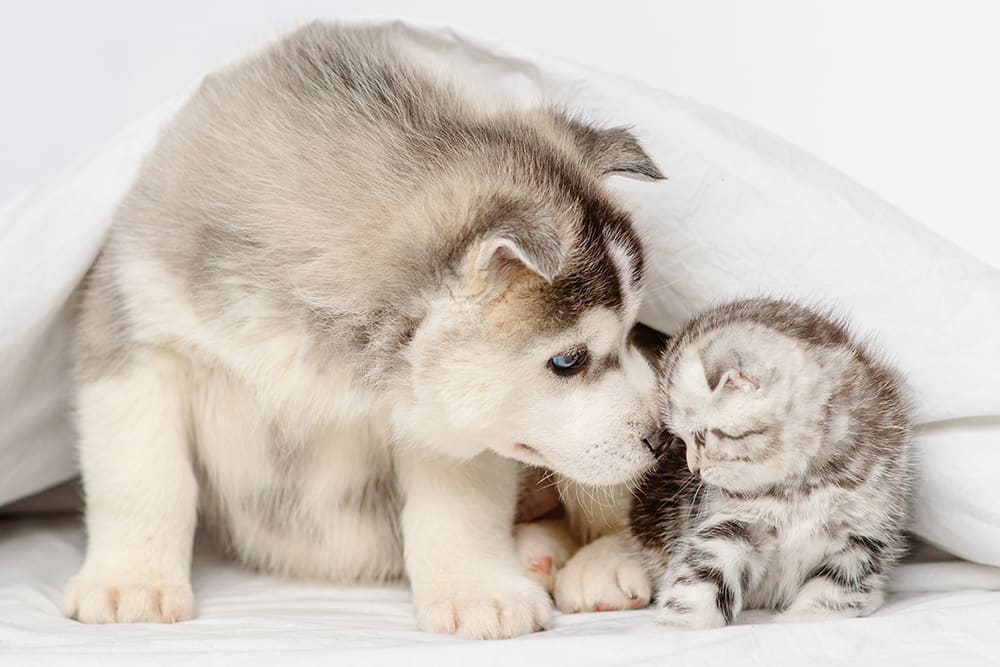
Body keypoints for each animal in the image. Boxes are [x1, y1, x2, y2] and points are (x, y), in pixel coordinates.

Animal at [66, 22, 668, 640]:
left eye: (630, 331)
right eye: (568, 361)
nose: (663, 438)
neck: (321, 349)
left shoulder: (443, 420)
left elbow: (460, 508)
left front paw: (478, 592)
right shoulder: (135, 336)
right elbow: (141, 480)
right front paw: (131, 583)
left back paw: (604, 562)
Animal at [632, 300, 916, 628]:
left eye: (701, 437)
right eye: (681, 441)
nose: (694, 469)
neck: (803, 485)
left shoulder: (864, 535)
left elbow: (836, 590)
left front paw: (806, 618)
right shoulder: (736, 522)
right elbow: (704, 572)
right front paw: (681, 624)